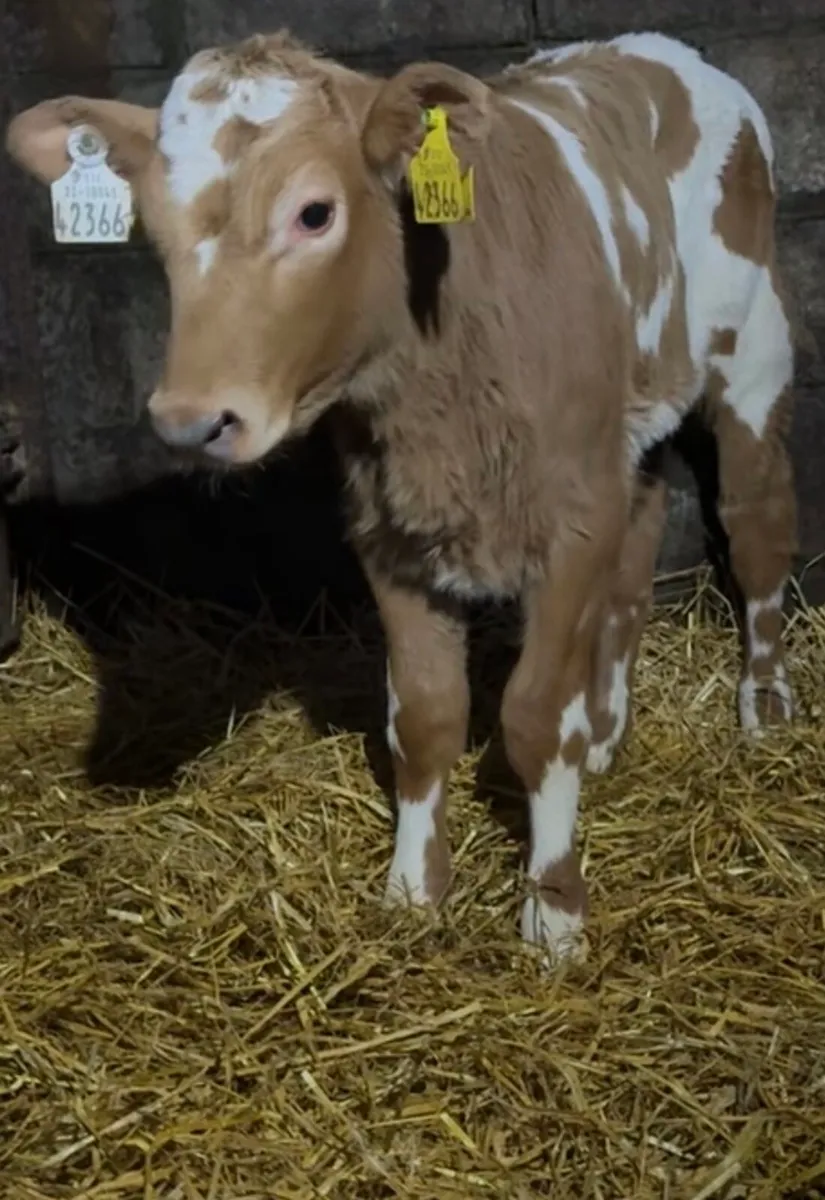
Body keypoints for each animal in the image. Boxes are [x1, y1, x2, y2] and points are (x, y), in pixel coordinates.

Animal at [6, 28, 798, 964]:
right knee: (635, 554)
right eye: (153, 225)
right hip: (629, 428)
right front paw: (413, 890)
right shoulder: (389, 529)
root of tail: (655, 45)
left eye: (314, 213)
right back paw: (607, 727)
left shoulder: (569, 523)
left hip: (751, 351)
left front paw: (553, 910)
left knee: (755, 525)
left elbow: (536, 717)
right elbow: (423, 717)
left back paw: (764, 702)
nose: (191, 421)